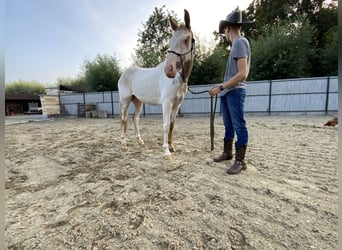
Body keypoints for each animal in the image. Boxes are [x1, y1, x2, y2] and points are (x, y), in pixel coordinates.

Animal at [118, 9, 194, 159]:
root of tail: (123, 74)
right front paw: (166, 151)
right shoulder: (167, 103)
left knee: (135, 119)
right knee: (124, 119)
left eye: (186, 39)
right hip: (125, 101)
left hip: (138, 101)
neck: (179, 78)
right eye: (170, 40)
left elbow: (172, 125)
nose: (169, 69)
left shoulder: (176, 105)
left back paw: (140, 140)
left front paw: (172, 147)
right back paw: (123, 142)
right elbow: (165, 125)